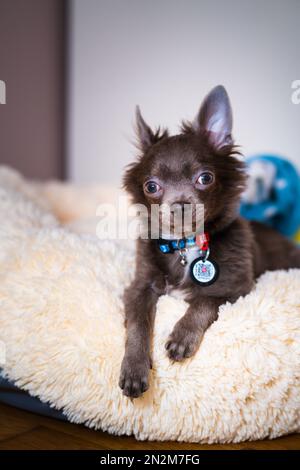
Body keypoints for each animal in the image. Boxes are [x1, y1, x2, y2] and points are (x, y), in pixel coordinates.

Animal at [119, 84, 300, 396]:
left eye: (205, 178)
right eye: (151, 186)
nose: (180, 204)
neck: (185, 245)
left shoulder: (238, 290)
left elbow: (205, 300)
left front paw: (183, 335)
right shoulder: (139, 287)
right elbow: (138, 324)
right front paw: (134, 367)